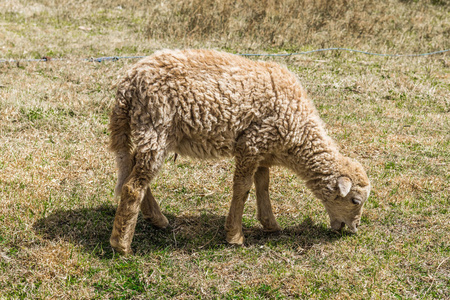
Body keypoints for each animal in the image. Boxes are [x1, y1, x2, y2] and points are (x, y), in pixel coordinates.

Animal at [108, 48, 370, 254]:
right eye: (355, 200)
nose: (354, 229)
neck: (298, 135)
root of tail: (128, 83)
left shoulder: (264, 149)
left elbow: (263, 186)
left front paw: (270, 224)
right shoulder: (251, 144)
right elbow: (242, 189)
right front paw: (235, 235)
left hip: (149, 132)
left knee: (134, 170)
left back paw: (157, 219)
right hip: (156, 125)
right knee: (132, 187)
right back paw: (121, 245)